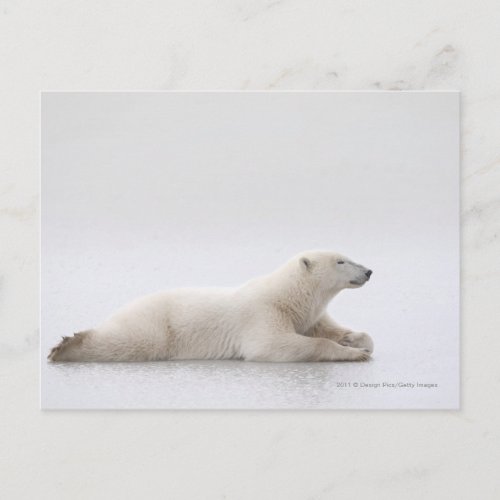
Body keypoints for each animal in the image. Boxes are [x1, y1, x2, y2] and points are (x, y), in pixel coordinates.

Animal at [47, 250, 376, 364]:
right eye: (341, 261)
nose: (369, 271)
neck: (290, 296)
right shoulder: (263, 312)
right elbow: (271, 345)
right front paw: (354, 354)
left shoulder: (308, 315)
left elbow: (330, 329)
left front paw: (355, 341)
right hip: (156, 324)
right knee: (132, 342)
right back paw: (67, 346)